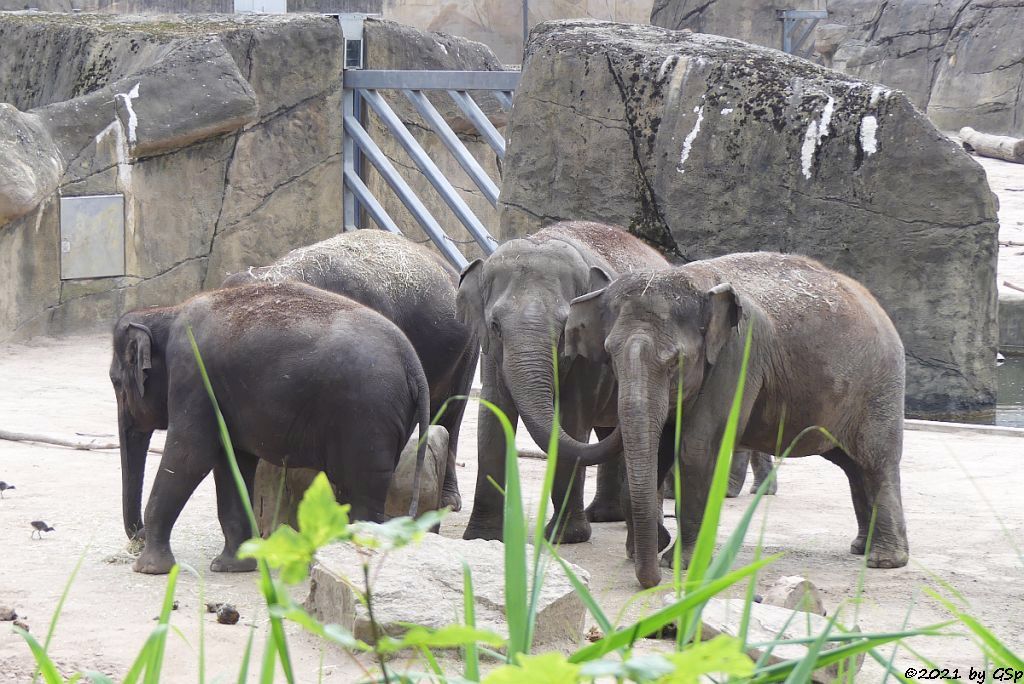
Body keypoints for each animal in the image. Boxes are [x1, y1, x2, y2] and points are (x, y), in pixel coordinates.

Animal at [110, 280, 430, 573]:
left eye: (115, 381)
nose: (137, 536)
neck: (166, 312)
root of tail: (412, 362)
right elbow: (232, 463)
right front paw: (232, 566)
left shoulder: (192, 375)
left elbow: (190, 456)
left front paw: (148, 569)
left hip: (366, 416)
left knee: (362, 490)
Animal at [458, 222, 667, 540]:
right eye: (495, 326)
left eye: (564, 328)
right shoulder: (491, 354)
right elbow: (493, 415)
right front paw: (482, 537)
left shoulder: (589, 357)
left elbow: (571, 420)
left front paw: (565, 537)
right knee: (608, 432)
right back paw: (604, 515)